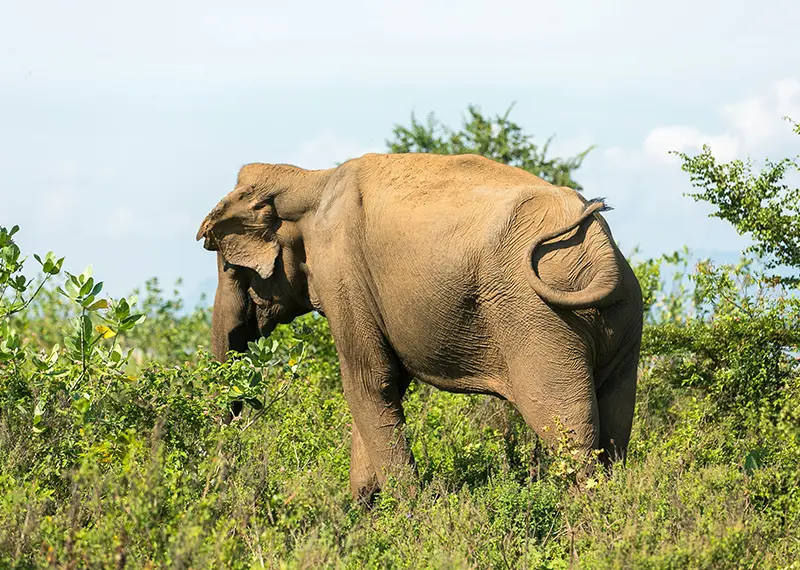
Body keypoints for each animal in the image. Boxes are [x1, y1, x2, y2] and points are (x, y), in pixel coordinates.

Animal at [196, 152, 644, 502]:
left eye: (229, 267)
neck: (310, 179)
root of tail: (600, 247)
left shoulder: (342, 270)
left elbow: (368, 381)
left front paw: (407, 514)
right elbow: (387, 386)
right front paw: (365, 512)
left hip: (538, 318)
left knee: (567, 426)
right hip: (622, 315)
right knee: (615, 422)